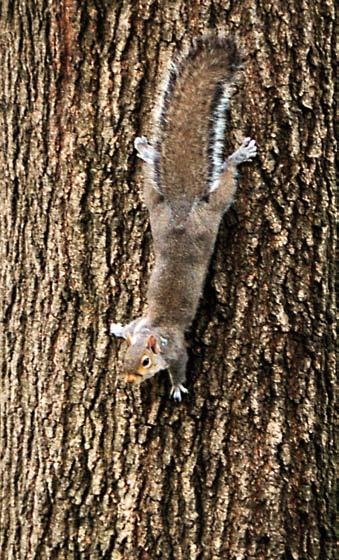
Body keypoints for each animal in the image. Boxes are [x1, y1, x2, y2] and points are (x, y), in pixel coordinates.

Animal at [111, 35, 258, 400]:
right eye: (124, 358)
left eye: (146, 362)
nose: (128, 379)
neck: (155, 329)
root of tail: (180, 210)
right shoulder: (140, 324)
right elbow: (129, 326)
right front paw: (118, 327)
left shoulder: (177, 348)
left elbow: (180, 365)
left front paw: (177, 386)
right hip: (158, 209)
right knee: (152, 182)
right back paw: (147, 150)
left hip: (208, 212)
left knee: (225, 181)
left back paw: (238, 155)